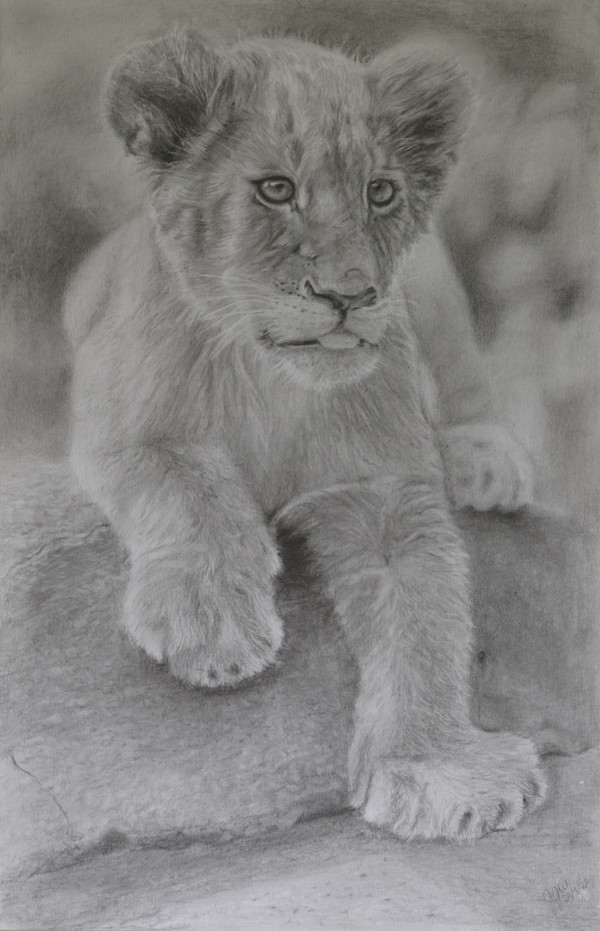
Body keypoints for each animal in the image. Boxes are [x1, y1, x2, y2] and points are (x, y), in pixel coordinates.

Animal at [64, 29, 544, 840]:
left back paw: (485, 458)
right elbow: (182, 479)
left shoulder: (383, 491)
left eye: (381, 192)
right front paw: (212, 621)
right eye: (275, 190)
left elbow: (424, 618)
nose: (349, 295)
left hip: (433, 284)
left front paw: (440, 767)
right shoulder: (119, 414)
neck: (271, 380)